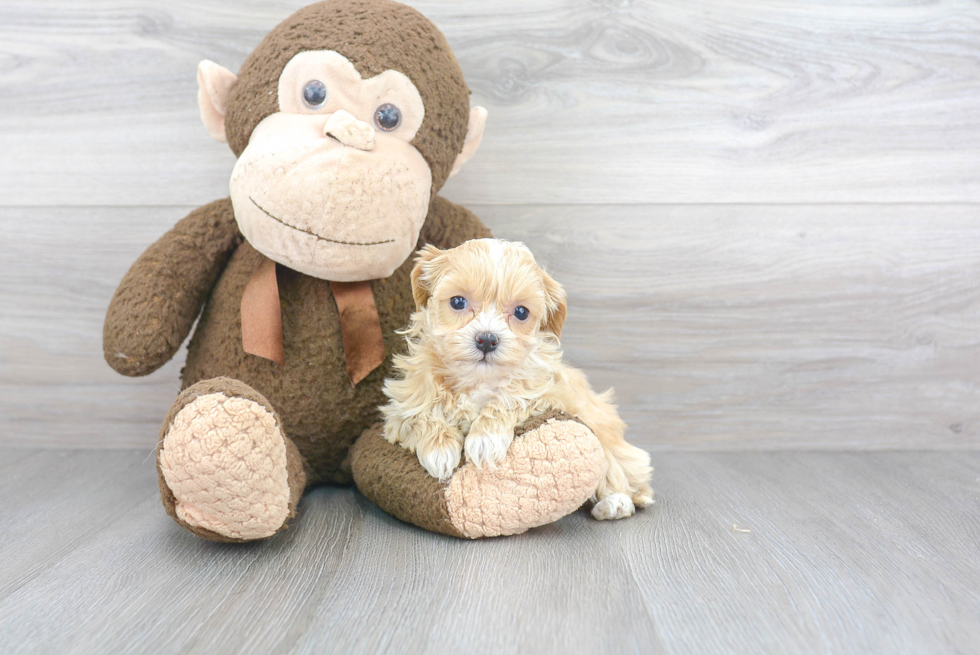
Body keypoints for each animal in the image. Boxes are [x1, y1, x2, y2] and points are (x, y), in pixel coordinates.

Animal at [378, 238, 656, 520]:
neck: (478, 380)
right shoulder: (401, 407)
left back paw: (615, 502)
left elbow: (511, 397)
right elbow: (421, 414)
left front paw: (485, 439)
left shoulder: (551, 391)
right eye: (457, 302)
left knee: (620, 473)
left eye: (521, 312)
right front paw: (439, 450)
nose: (486, 339)